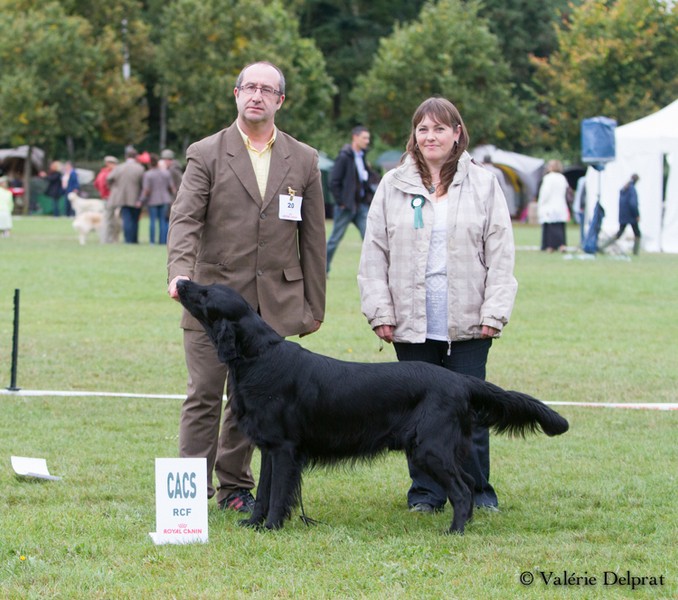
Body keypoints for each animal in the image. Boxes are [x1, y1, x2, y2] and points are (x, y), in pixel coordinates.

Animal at [175, 278, 568, 532]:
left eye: (205, 293)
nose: (181, 281)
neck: (258, 357)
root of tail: (459, 381)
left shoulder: (284, 448)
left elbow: (277, 495)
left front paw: (271, 527)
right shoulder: (270, 448)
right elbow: (265, 493)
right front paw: (254, 524)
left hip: (429, 446)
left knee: (460, 488)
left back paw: (454, 531)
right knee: (469, 483)